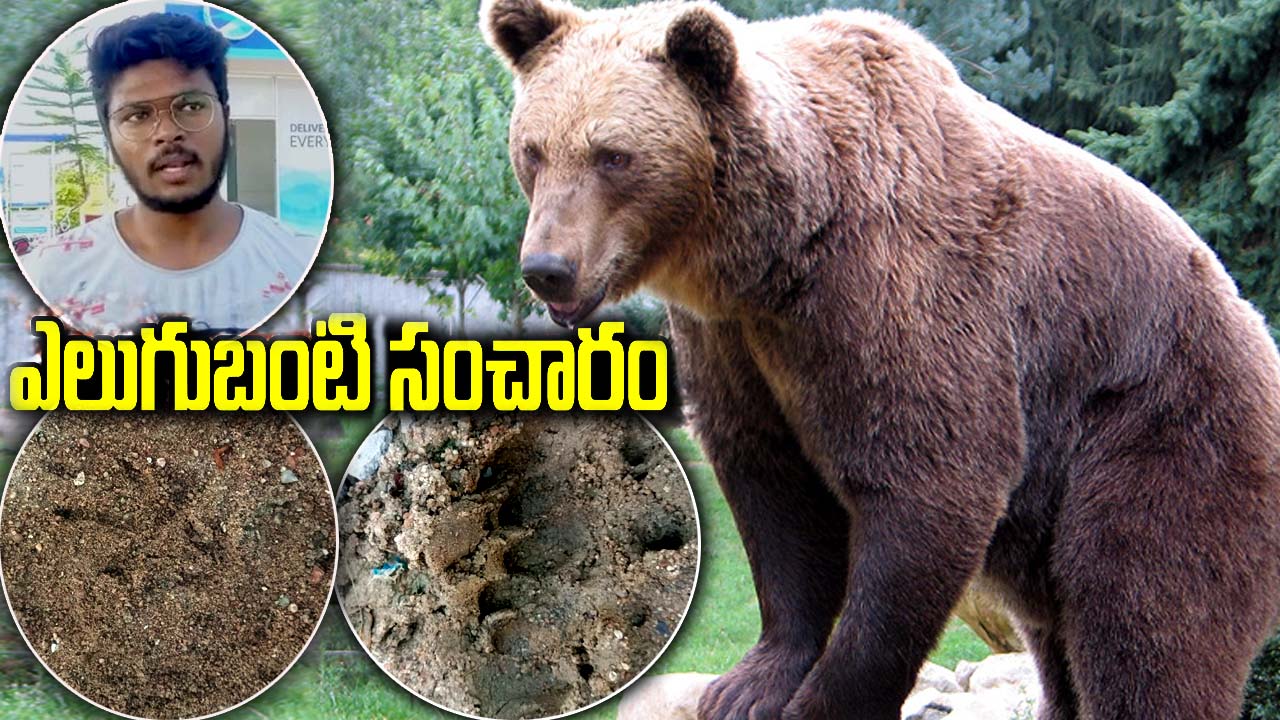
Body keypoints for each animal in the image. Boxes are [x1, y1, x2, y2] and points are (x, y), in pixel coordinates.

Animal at [480, 1, 1280, 719]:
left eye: (613, 155)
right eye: (534, 150)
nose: (547, 268)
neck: (775, 251)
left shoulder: (894, 293)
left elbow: (930, 480)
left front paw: (819, 703)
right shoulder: (733, 341)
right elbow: (772, 489)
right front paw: (748, 686)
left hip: (1159, 427)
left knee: (1142, 607)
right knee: (1060, 634)